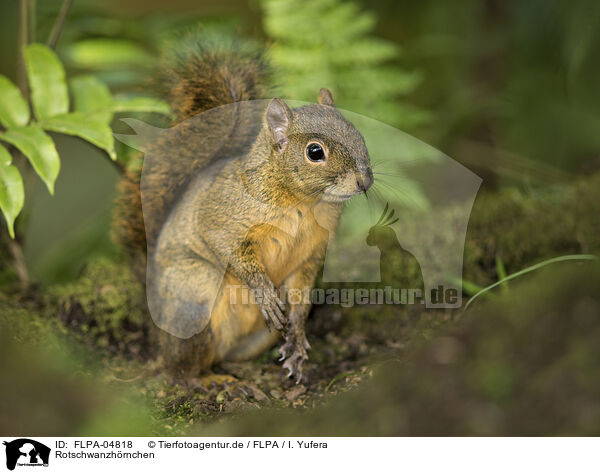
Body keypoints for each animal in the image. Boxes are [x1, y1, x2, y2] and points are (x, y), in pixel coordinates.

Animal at [113, 34, 372, 380]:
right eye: (315, 152)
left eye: (359, 135)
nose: (364, 181)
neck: (304, 203)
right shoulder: (222, 215)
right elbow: (228, 248)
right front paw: (263, 291)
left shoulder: (312, 251)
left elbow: (302, 290)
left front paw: (298, 334)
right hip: (194, 296)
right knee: (182, 368)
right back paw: (212, 381)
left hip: (258, 337)